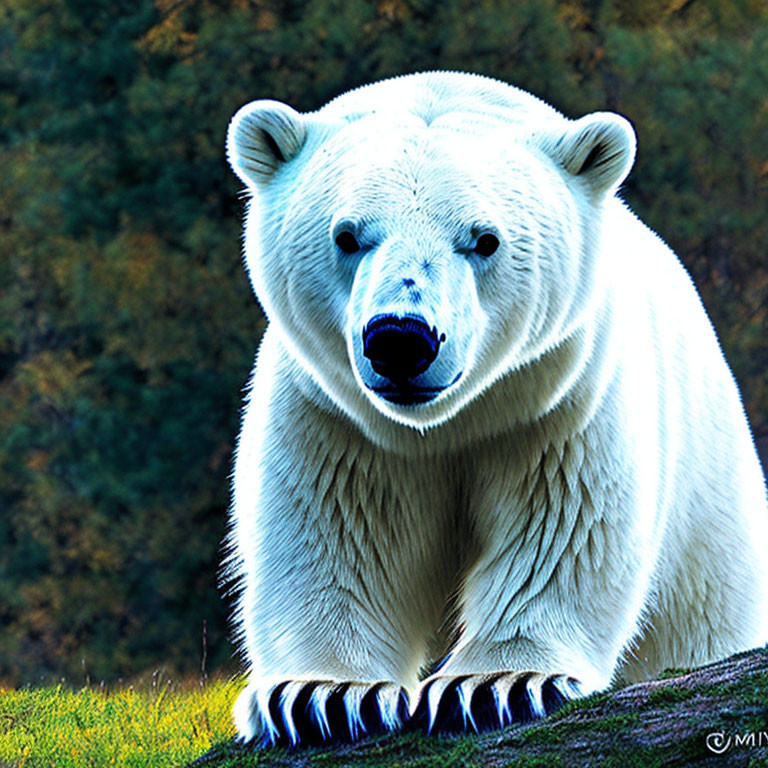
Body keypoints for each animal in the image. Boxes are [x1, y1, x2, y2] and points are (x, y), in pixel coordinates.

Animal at [222, 72, 768, 744]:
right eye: (347, 235)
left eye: (484, 240)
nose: (401, 338)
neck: (445, 425)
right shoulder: (333, 417)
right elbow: (332, 534)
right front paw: (323, 695)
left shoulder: (560, 402)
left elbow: (562, 527)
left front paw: (494, 684)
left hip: (711, 523)